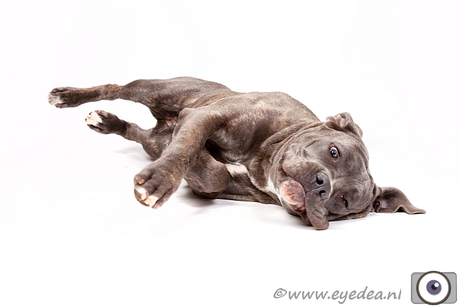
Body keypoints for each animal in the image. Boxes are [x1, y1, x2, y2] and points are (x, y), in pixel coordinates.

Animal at [49, 77, 424, 231]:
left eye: (344, 202)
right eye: (333, 152)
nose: (322, 185)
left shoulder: (219, 185)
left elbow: (212, 174)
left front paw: (198, 162)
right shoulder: (209, 114)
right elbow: (187, 145)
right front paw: (159, 181)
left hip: (150, 138)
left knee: (139, 133)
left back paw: (108, 122)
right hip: (158, 89)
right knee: (116, 88)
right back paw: (68, 96)